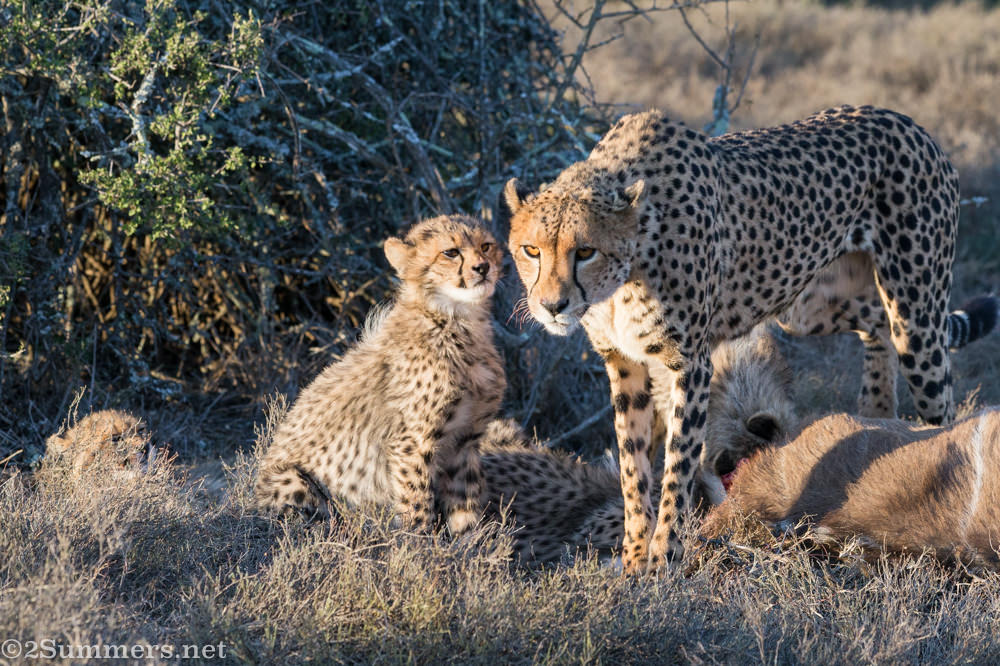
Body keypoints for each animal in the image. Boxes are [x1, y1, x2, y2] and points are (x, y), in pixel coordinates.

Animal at [254, 215, 505, 535]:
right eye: (450, 252)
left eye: (486, 246)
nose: (483, 267)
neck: (457, 320)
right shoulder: (411, 444)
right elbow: (417, 506)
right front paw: (417, 546)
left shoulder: (465, 442)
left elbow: (466, 506)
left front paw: (471, 545)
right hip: (293, 482)